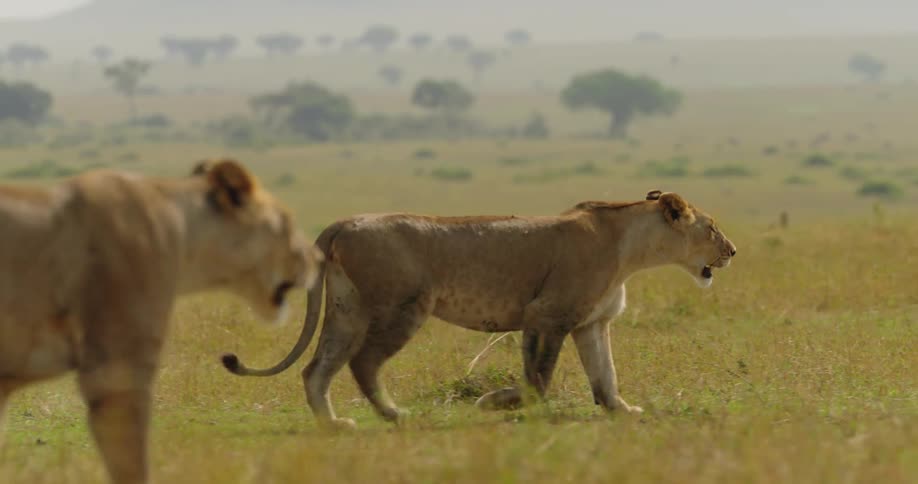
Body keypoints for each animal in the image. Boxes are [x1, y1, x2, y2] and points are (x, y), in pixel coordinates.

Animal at [222, 190, 736, 429]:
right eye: (711, 228)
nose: (732, 251)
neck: (631, 249)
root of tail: (344, 222)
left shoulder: (590, 324)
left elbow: (605, 376)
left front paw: (623, 410)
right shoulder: (546, 314)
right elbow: (538, 380)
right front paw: (494, 402)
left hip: (347, 310)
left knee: (316, 369)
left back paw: (333, 424)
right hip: (404, 306)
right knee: (363, 363)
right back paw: (395, 415)